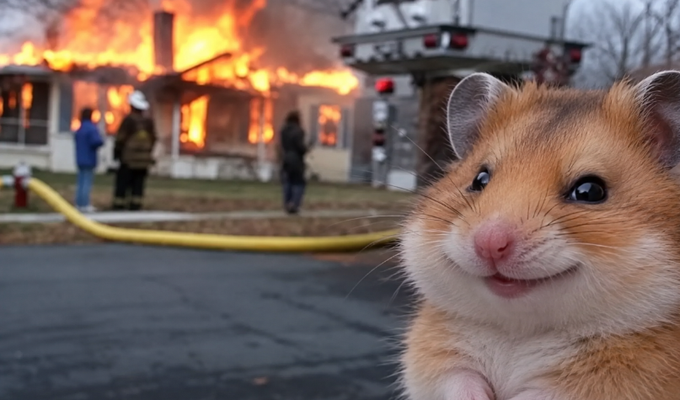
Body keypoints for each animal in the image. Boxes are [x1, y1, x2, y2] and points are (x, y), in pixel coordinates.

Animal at [398, 71, 680, 400]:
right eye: (479, 179)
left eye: (590, 191)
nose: (489, 244)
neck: (518, 330)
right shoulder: (431, 355)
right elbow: (457, 377)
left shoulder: (614, 384)